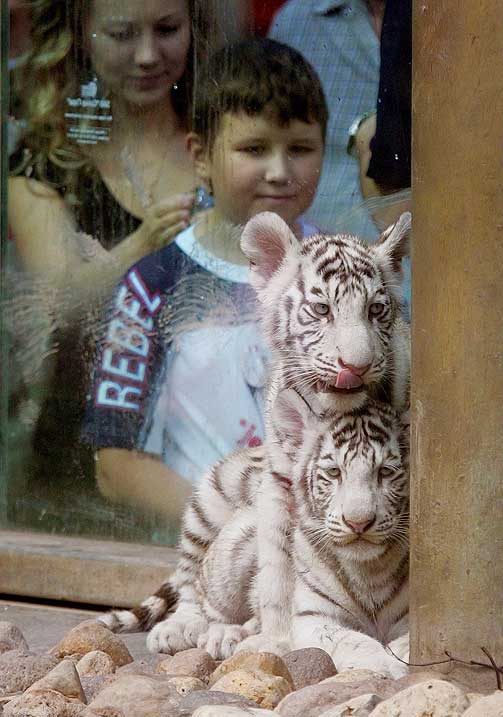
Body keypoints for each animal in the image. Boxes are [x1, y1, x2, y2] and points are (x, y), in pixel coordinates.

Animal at [98, 210, 412, 656]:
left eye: (377, 310)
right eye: (321, 309)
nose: (358, 364)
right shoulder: (279, 484)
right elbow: (277, 571)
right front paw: (277, 640)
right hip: (209, 503)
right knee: (192, 578)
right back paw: (184, 627)